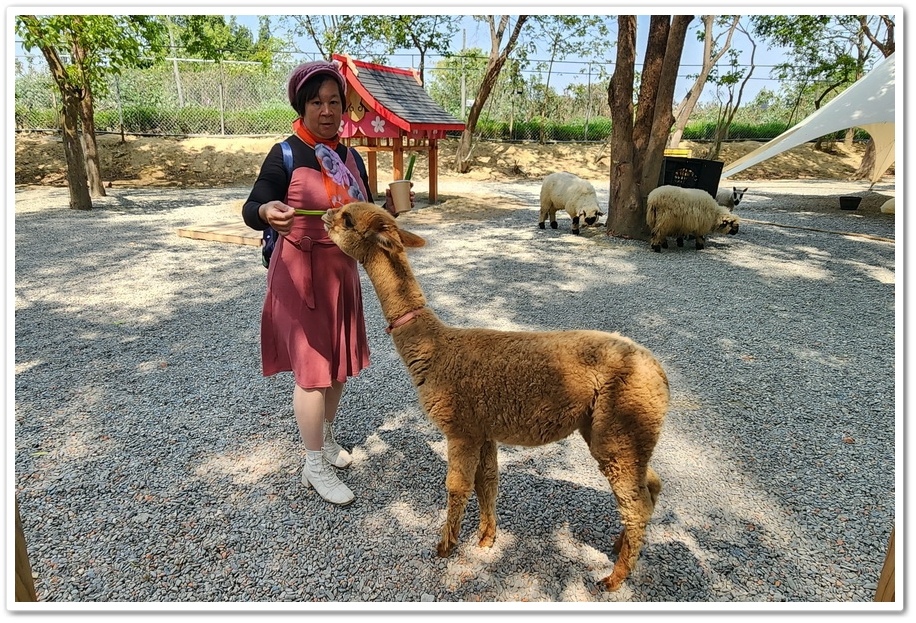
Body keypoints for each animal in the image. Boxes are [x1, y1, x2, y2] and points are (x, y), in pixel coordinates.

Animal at [326, 202, 668, 592]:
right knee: (649, 486)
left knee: (636, 503)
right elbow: (486, 482)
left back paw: (614, 578)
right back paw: (618, 545)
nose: (324, 216)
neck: (434, 348)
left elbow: (457, 486)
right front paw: (487, 537)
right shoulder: (483, 428)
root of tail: (659, 372)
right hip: (617, 432)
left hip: (619, 428)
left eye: (347, 218)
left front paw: (446, 546)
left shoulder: (460, 428)